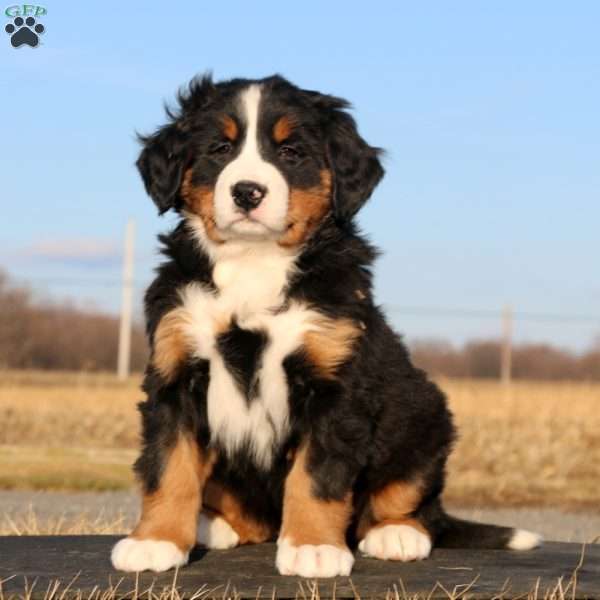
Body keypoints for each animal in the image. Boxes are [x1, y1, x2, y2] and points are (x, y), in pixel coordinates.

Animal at [110, 74, 540, 576]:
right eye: (220, 148)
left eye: (290, 152)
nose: (247, 191)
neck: (254, 262)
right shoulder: (175, 373)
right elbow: (168, 465)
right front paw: (155, 540)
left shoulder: (336, 382)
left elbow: (317, 474)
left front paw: (314, 547)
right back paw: (212, 524)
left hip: (424, 415)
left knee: (413, 500)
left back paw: (397, 533)